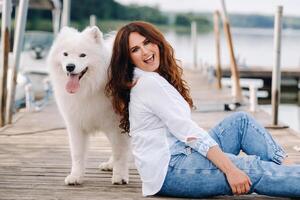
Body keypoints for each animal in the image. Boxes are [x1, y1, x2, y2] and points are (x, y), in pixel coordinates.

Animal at [47, 26, 129, 186]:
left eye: (83, 55)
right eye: (65, 54)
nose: (70, 66)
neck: (89, 89)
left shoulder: (117, 127)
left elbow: (120, 153)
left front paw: (120, 176)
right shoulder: (76, 125)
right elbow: (77, 154)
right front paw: (76, 177)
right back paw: (109, 165)